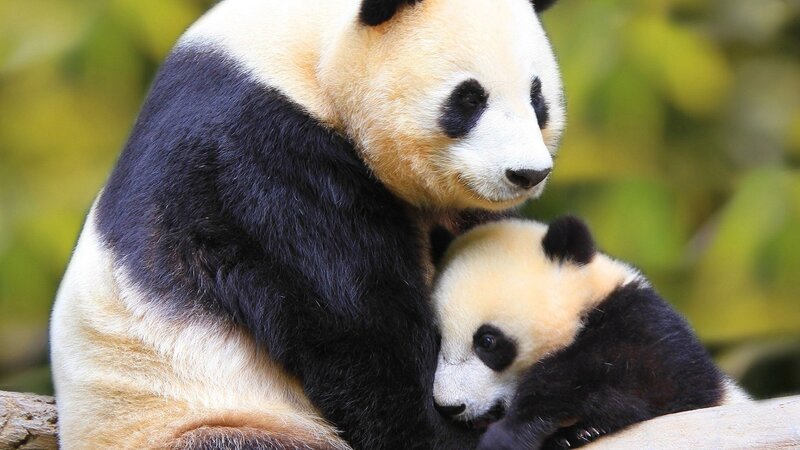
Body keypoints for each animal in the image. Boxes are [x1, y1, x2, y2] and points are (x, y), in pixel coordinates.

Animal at [49, 0, 565, 449]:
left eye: (537, 96)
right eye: (469, 99)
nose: (527, 173)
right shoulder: (259, 157)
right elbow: (356, 328)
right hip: (195, 419)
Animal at [430, 217, 749, 450]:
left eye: (487, 342)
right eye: (439, 339)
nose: (450, 406)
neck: (586, 305)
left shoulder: (647, 326)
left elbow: (647, 380)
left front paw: (512, 431)